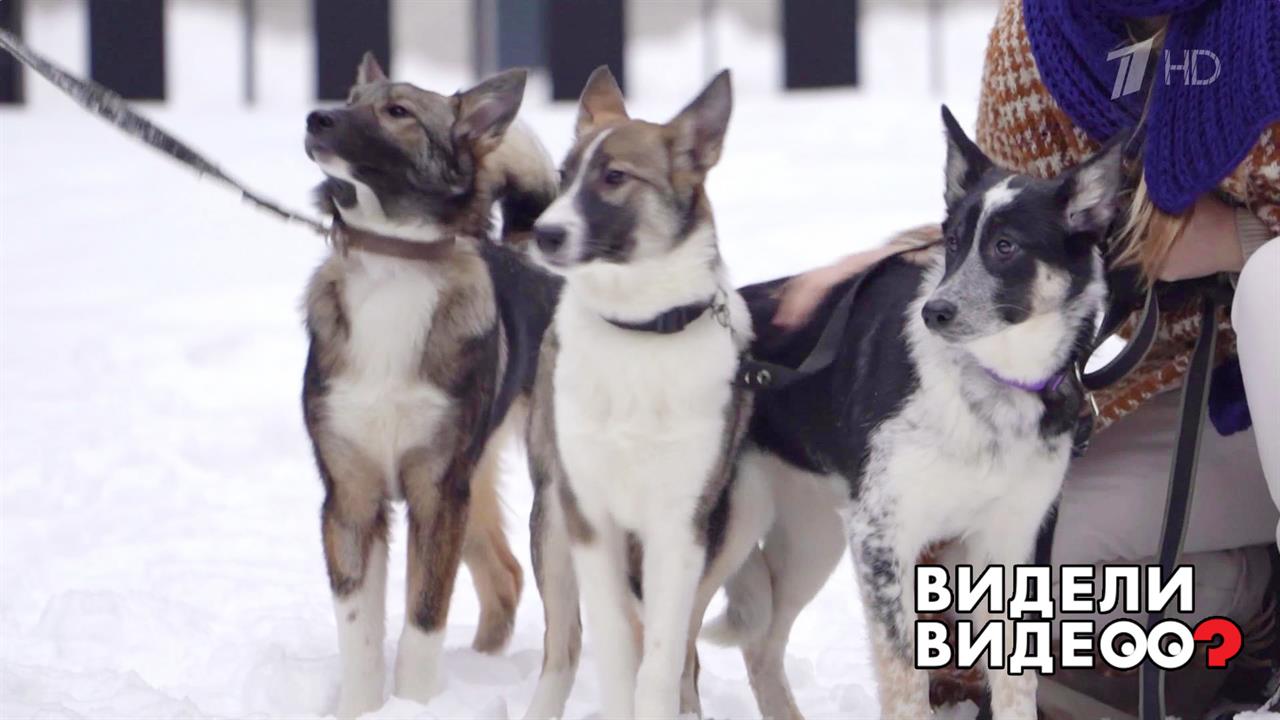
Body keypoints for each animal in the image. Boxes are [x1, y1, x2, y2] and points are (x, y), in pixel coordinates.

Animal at [300, 53, 560, 718]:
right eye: (350, 99)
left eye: (397, 111)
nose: (315, 117)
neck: (394, 262)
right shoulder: (350, 497)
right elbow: (360, 631)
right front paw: (363, 706)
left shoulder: (437, 493)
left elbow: (423, 618)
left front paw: (416, 703)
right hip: (475, 485)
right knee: (505, 576)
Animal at [522, 67, 775, 719]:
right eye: (564, 175)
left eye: (614, 177)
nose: (543, 233)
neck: (637, 329)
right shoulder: (588, 516)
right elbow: (614, 648)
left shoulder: (680, 526)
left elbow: (660, 660)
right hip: (550, 520)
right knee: (562, 650)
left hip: (739, 511)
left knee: (684, 651)